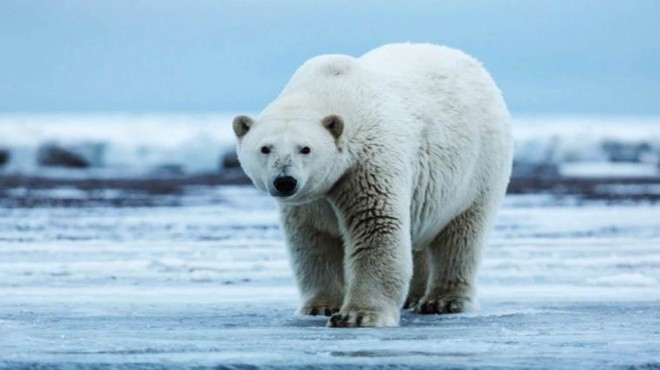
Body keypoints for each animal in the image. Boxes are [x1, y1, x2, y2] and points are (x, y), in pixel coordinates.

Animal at [232, 42, 516, 326]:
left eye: (305, 148)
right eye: (265, 148)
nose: (285, 182)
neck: (331, 87)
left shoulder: (368, 163)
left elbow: (376, 224)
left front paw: (356, 315)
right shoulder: (312, 200)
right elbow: (314, 240)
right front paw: (320, 306)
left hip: (478, 169)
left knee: (462, 235)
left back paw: (443, 301)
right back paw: (414, 297)